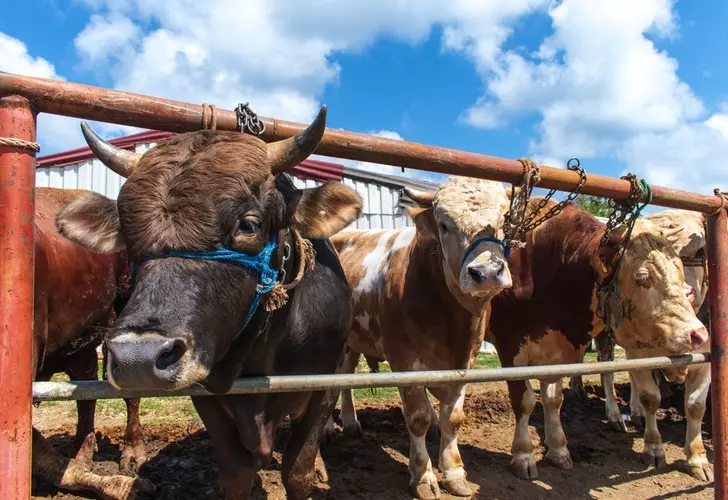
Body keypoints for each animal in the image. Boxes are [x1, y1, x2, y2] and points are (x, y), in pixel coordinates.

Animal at [54, 106, 364, 500]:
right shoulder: (205, 395)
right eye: (126, 232)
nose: (137, 359)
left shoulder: (324, 384)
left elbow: (298, 472)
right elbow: (236, 474)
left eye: (248, 224)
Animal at [322, 177, 516, 500]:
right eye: (444, 224)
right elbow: (418, 417)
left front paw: (454, 473)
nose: (487, 272)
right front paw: (423, 476)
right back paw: (326, 427)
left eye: (504, 219)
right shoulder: (404, 360)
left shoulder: (466, 361)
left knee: (346, 374)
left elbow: (454, 417)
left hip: (355, 339)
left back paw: (349, 422)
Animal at [486, 197, 708, 478]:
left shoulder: (555, 348)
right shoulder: (510, 345)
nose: (698, 334)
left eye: (679, 273)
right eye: (643, 276)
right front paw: (524, 455)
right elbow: (524, 401)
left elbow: (553, 399)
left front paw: (558, 450)